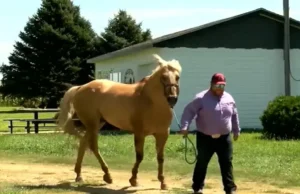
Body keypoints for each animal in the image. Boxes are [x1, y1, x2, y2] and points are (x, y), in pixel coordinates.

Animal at [57, 54, 182, 189]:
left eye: (177, 77)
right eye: (163, 77)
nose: (172, 99)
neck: (151, 103)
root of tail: (80, 88)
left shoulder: (163, 135)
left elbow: (160, 157)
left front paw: (163, 182)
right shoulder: (139, 133)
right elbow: (140, 156)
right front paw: (133, 180)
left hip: (97, 123)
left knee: (84, 143)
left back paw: (79, 175)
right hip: (92, 124)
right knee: (93, 146)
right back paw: (107, 176)